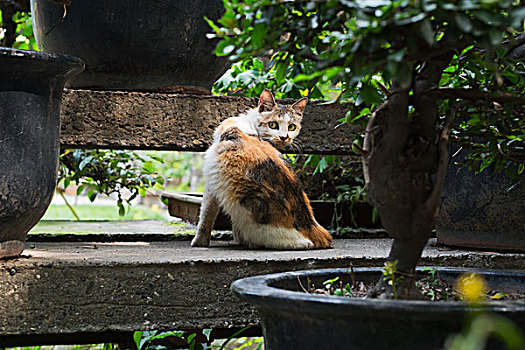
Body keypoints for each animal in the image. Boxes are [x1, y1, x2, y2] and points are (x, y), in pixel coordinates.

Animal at [191, 89, 332, 249]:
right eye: (273, 125)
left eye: (291, 126)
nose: (284, 137)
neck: (249, 125)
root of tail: (312, 227)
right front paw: (237, 237)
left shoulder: (213, 180)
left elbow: (206, 215)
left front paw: (199, 242)